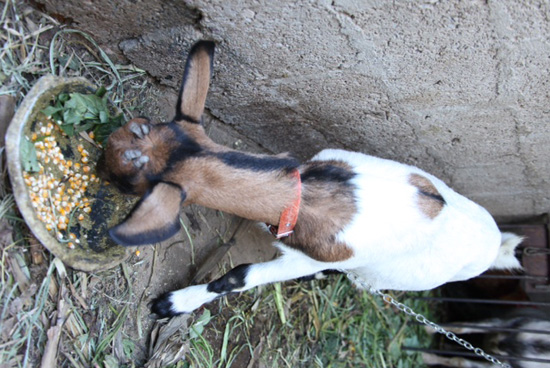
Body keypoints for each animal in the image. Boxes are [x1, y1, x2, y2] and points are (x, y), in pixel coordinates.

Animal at [100, 39, 528, 316]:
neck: (306, 196)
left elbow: (237, 277)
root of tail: (498, 245)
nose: (103, 154)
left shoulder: (305, 259)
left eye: (124, 181)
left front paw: (171, 304)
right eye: (137, 124)